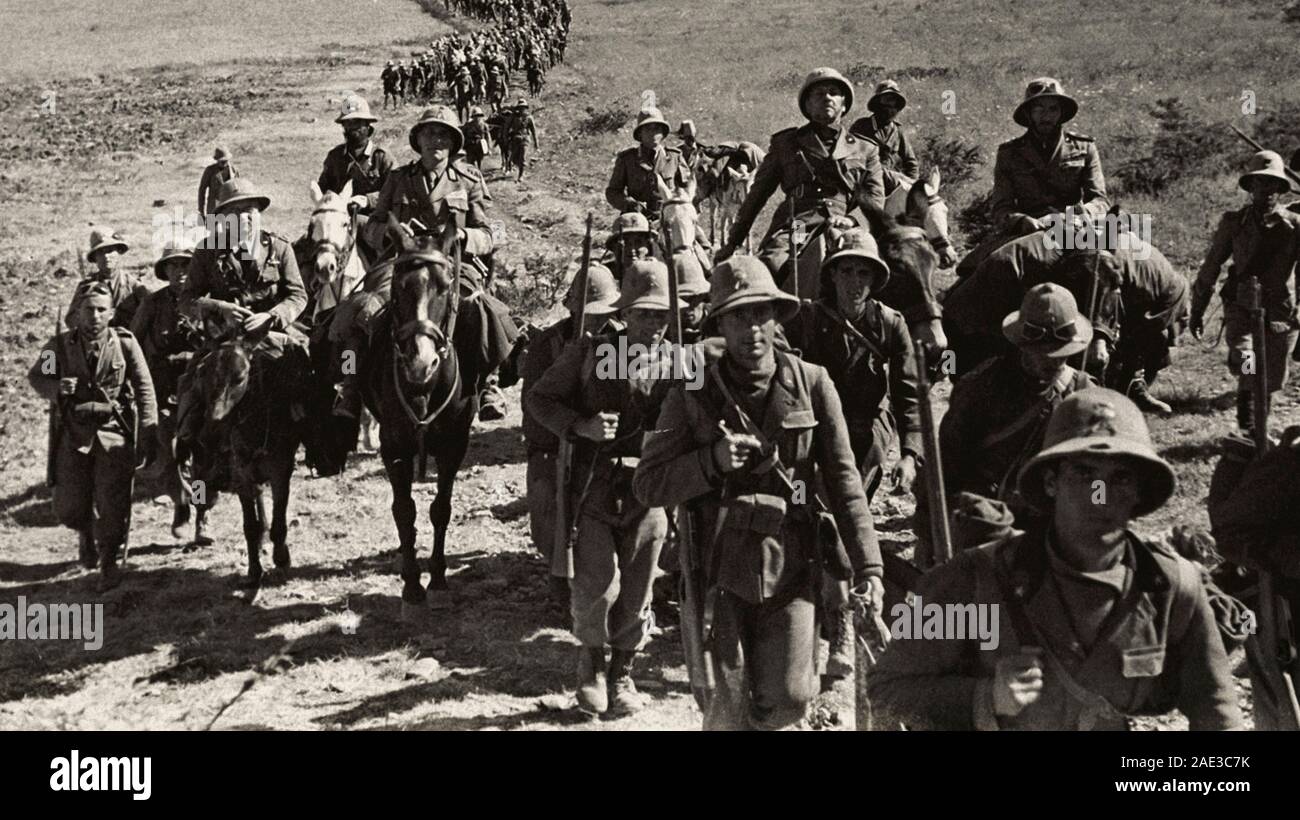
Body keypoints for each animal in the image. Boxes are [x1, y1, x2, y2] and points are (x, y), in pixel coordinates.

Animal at [364, 233, 480, 618]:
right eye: (399, 288)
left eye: (445, 287)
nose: (421, 363)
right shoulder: (393, 447)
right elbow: (404, 512)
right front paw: (413, 586)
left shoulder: (454, 446)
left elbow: (440, 509)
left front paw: (439, 580)